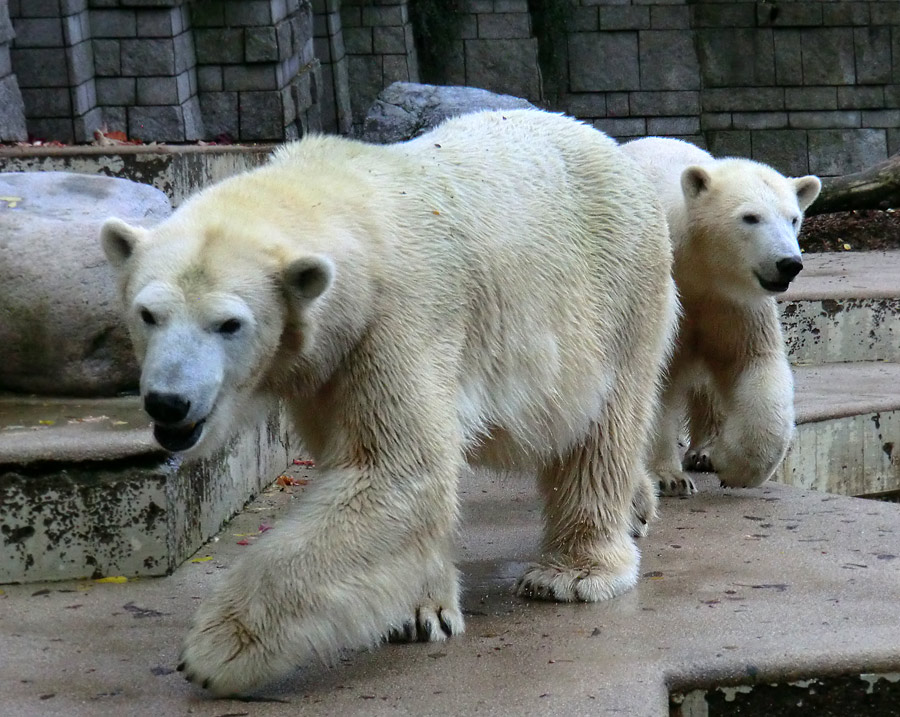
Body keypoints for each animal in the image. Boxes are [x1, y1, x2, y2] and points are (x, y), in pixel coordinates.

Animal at [100, 110, 676, 692]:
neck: (345, 204)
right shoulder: (331, 362)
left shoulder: (398, 317)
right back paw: (637, 505)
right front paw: (423, 611)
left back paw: (576, 572)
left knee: (603, 428)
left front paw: (214, 647)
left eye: (229, 323)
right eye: (148, 314)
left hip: (616, 293)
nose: (168, 403)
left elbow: (398, 470)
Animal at [620, 139, 824, 496]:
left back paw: (705, 450)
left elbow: (753, 363)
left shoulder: (733, 303)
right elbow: (654, 379)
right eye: (750, 217)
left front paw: (733, 465)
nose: (789, 263)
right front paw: (668, 477)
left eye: (794, 218)